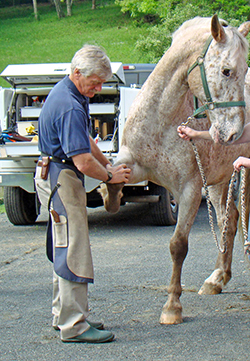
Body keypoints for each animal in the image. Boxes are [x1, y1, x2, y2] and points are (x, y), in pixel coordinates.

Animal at [98, 14, 250, 324]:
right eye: (227, 71)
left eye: (244, 71)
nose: (234, 133)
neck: (162, 119)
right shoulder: (135, 163)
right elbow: (114, 176)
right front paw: (108, 194)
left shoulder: (190, 189)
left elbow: (178, 245)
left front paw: (172, 306)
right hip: (218, 181)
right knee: (228, 222)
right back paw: (217, 278)